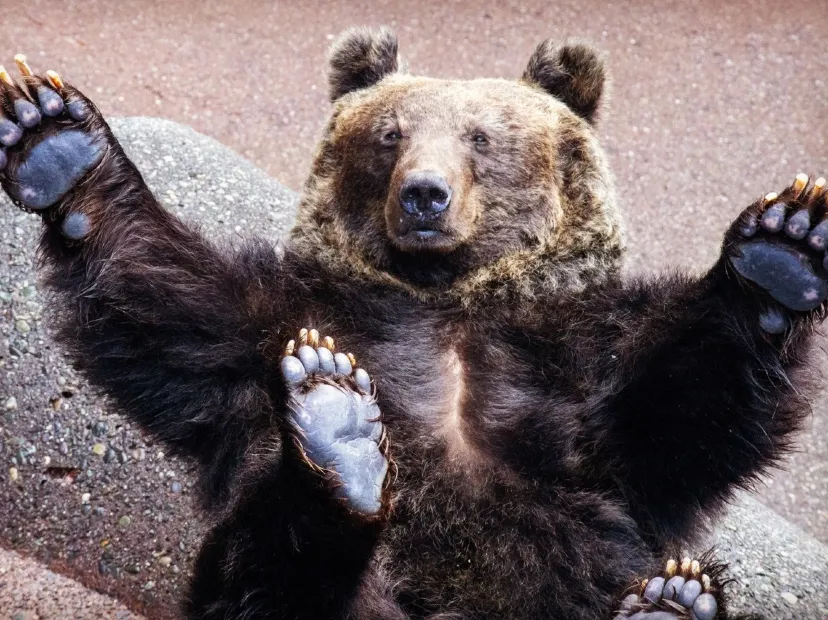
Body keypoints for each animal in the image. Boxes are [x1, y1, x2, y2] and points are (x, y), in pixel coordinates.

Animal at [0, 27, 821, 619]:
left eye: (482, 137)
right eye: (389, 133)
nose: (424, 195)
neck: (445, 302)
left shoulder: (583, 370)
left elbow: (691, 401)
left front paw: (781, 247)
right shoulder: (281, 321)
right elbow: (162, 299)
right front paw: (54, 136)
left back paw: (670, 600)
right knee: (265, 561)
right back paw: (338, 437)